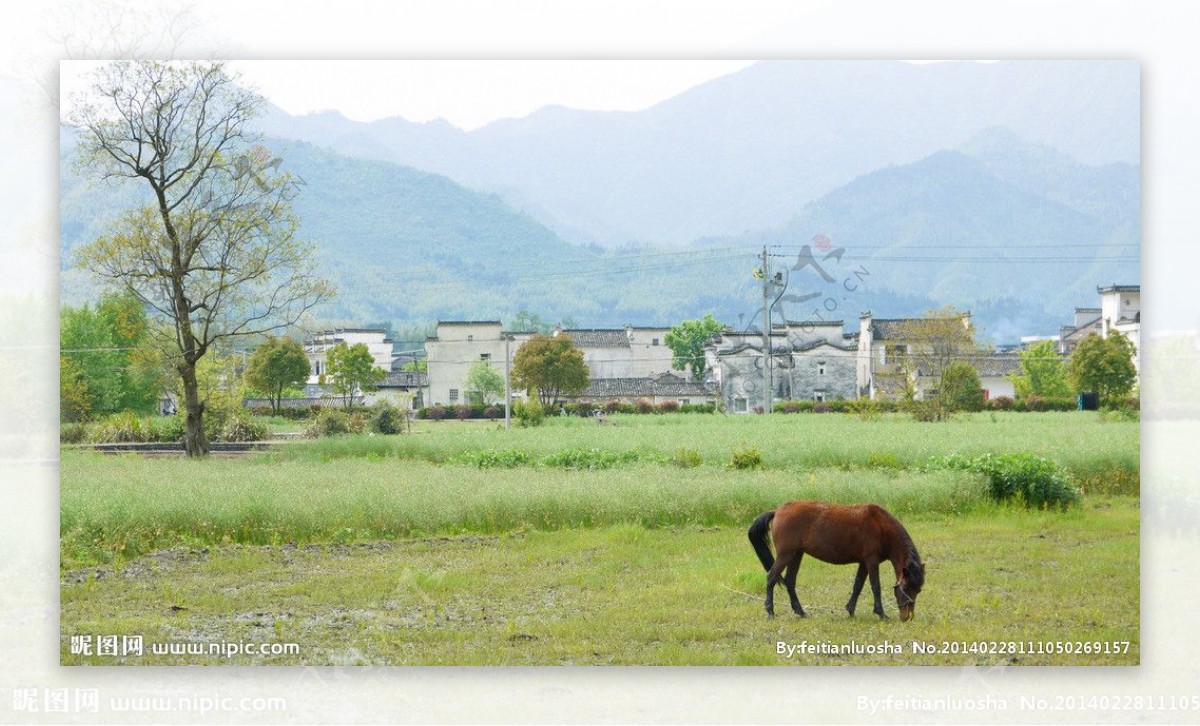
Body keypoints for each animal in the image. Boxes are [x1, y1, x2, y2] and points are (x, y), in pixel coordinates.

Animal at [744, 501, 921, 619]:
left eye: (917, 590)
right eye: (906, 587)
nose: (907, 616)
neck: (881, 525)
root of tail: (778, 511)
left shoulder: (864, 563)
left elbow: (857, 586)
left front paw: (850, 610)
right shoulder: (871, 561)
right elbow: (875, 586)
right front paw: (882, 613)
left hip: (796, 555)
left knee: (790, 581)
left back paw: (800, 612)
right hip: (786, 555)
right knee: (771, 577)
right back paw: (770, 612)